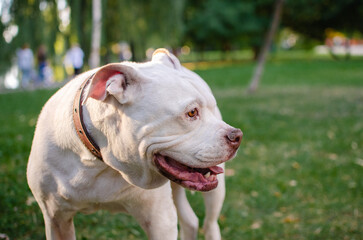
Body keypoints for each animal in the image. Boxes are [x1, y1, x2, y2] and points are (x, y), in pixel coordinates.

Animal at [27, 47, 243, 239]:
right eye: (191, 112)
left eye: (212, 107)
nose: (237, 136)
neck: (97, 162)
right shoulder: (56, 218)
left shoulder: (160, 221)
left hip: (215, 194)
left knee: (210, 223)